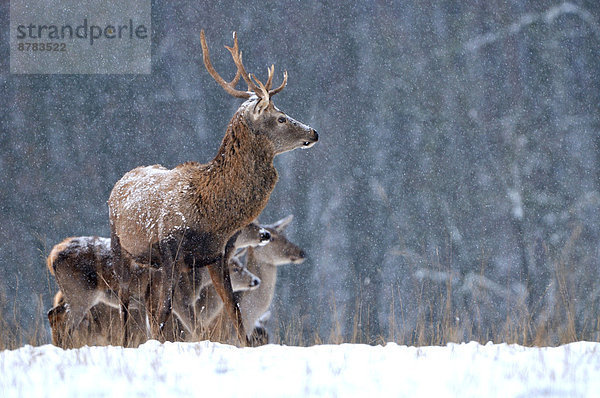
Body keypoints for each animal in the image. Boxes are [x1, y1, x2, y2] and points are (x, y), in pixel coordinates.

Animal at [107, 31, 316, 346]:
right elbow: (167, 313)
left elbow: (234, 313)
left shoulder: (218, 256)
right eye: (280, 117)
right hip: (121, 247)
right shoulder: (171, 252)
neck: (210, 215)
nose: (313, 132)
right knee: (125, 306)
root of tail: (121, 181)